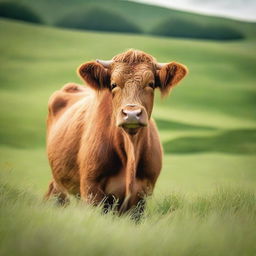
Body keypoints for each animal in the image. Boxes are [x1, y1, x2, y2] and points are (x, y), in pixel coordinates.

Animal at [45, 48, 187, 214]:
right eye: (113, 84)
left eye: (151, 84)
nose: (131, 114)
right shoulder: (91, 189)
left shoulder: (142, 196)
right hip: (59, 182)